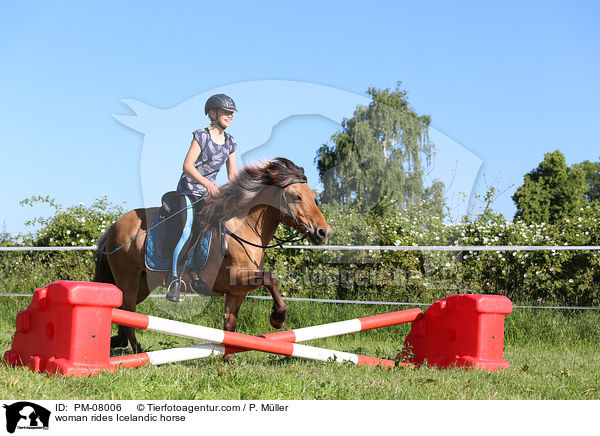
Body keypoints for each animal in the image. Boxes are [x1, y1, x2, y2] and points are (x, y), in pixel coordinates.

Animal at [96, 157, 336, 354]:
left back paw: (117, 343)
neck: (243, 228)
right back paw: (139, 353)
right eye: (296, 197)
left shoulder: (236, 292)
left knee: (125, 316)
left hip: (143, 284)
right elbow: (270, 278)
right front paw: (278, 318)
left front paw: (225, 365)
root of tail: (114, 225)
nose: (323, 232)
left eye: (314, 197)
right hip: (128, 280)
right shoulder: (235, 278)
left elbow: (229, 328)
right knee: (127, 319)